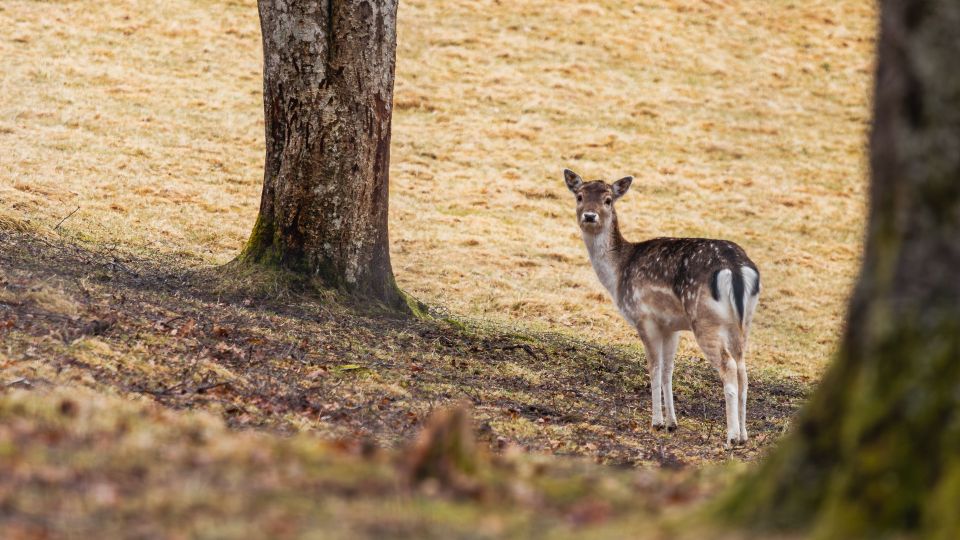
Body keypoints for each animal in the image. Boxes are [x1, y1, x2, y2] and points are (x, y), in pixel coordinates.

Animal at [563, 169, 760, 448]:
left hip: (706, 321)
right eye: (579, 196)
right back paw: (743, 436)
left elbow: (654, 368)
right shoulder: (671, 326)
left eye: (608, 200)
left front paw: (656, 421)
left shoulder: (644, 318)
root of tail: (736, 268)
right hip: (742, 323)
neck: (618, 273)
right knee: (743, 369)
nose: (589, 216)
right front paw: (671, 423)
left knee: (729, 366)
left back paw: (731, 437)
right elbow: (668, 370)